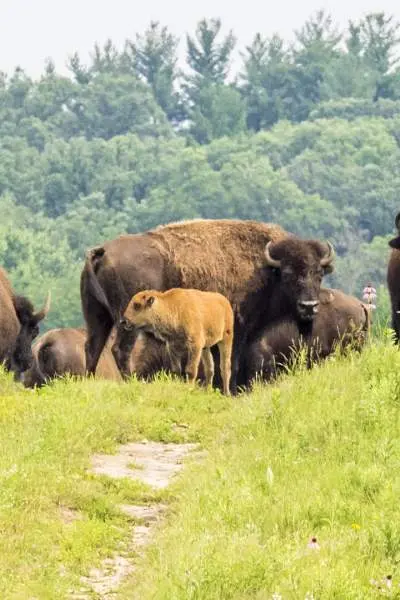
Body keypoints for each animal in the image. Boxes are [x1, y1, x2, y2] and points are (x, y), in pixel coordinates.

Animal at [80, 217, 334, 394]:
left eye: (319, 273)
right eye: (289, 273)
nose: (309, 306)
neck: (266, 268)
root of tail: (101, 251)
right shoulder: (237, 329)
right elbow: (230, 362)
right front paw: (230, 391)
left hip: (98, 317)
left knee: (92, 347)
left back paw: (88, 382)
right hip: (127, 321)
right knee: (120, 349)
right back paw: (131, 382)